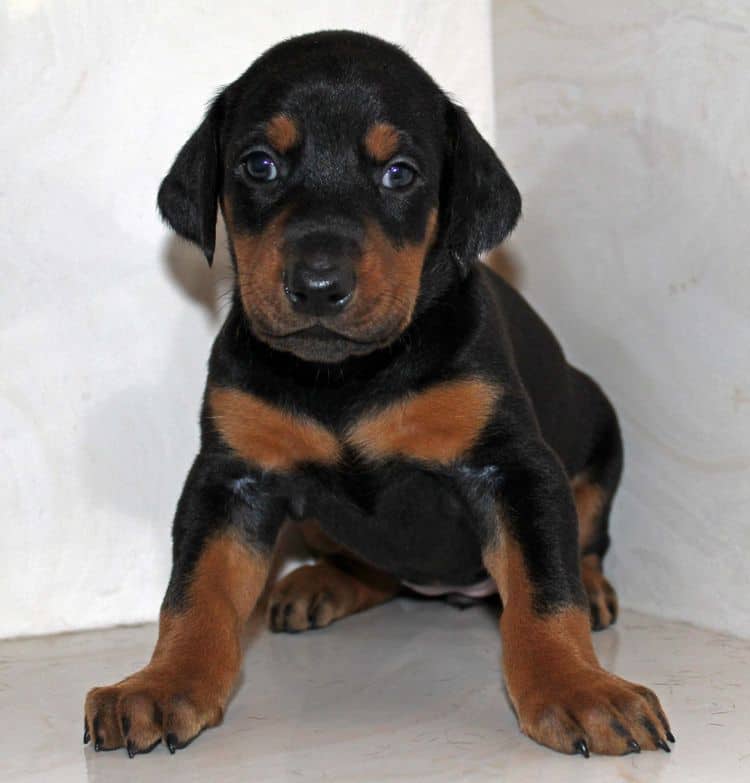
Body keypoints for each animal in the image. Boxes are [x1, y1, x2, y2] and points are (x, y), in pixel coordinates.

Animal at [83, 30, 676, 760]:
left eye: (400, 173)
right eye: (258, 165)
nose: (317, 284)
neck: (347, 377)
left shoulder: (515, 468)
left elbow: (544, 589)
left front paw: (579, 688)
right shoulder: (231, 478)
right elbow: (194, 591)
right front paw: (161, 683)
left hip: (598, 432)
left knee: (585, 541)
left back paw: (593, 589)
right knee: (374, 569)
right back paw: (322, 580)